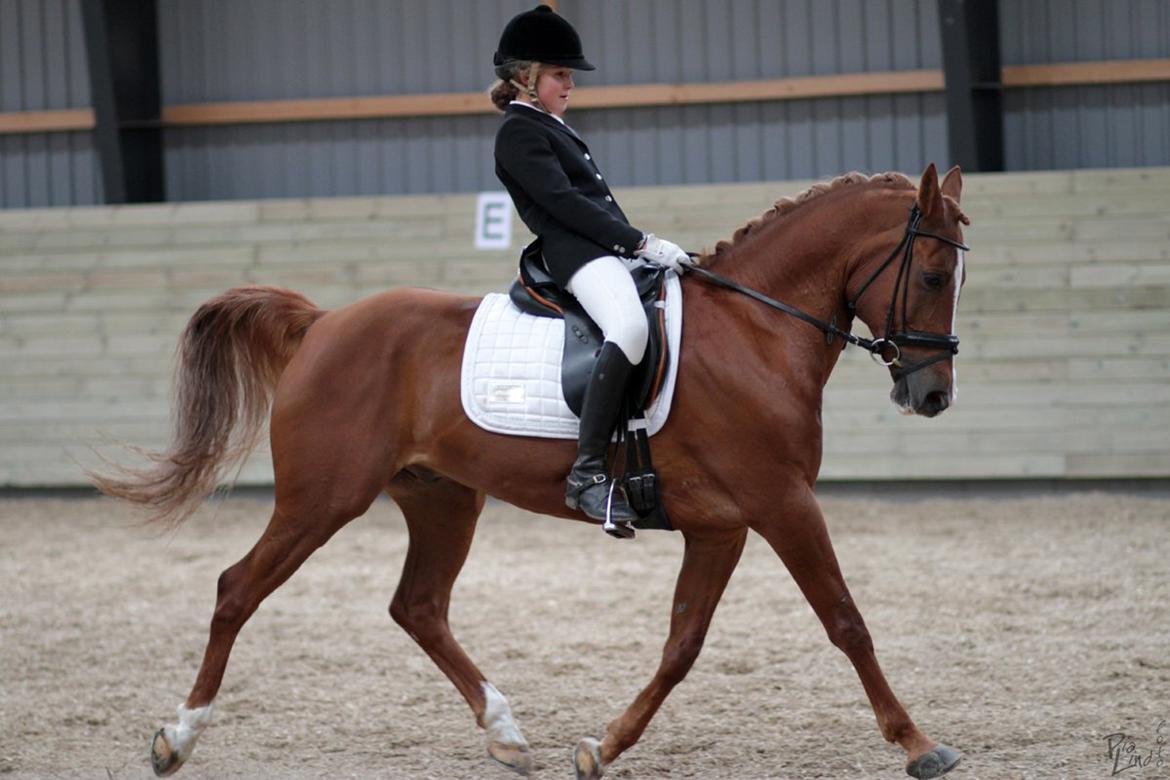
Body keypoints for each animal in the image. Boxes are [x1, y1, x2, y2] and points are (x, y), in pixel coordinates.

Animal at [94, 163, 971, 779]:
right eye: (932, 275)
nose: (931, 396)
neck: (755, 329)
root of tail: (324, 323)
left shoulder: (721, 526)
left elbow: (682, 644)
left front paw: (602, 747)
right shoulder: (782, 503)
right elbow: (846, 621)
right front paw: (918, 744)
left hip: (443, 500)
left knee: (418, 606)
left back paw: (507, 736)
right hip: (323, 499)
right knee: (237, 589)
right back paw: (176, 737)